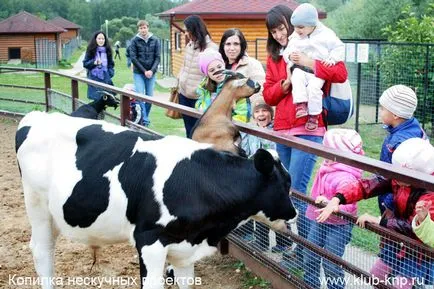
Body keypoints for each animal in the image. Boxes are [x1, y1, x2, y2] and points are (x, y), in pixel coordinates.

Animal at [15, 111, 296, 288]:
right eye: (287, 183)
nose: (294, 215)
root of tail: (37, 116)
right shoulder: (149, 242)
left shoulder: (185, 250)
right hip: (37, 206)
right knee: (42, 252)